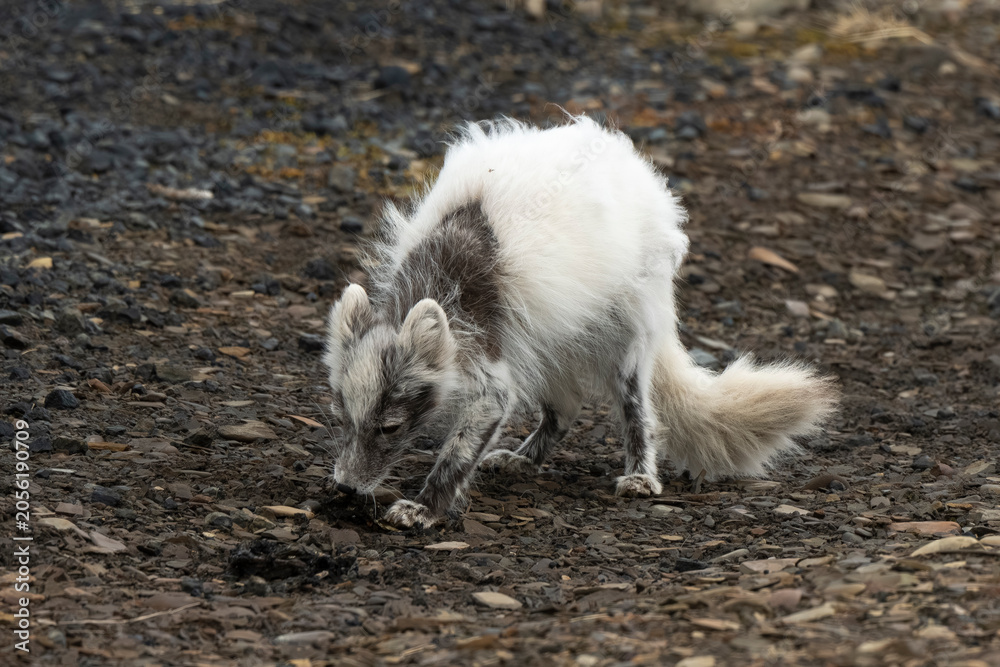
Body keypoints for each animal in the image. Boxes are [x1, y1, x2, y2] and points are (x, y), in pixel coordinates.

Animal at [322, 116, 836, 528]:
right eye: (343, 415)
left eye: (390, 428)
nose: (344, 487)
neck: (444, 277)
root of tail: (639, 172)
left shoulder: (490, 376)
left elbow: (459, 450)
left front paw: (424, 507)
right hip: (546, 338)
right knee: (567, 408)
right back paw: (523, 460)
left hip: (624, 338)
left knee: (638, 409)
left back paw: (640, 476)